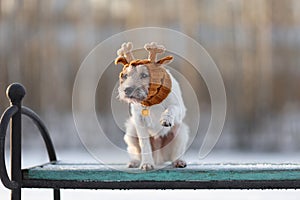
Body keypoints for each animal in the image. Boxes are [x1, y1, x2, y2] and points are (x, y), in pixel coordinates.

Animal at [115, 41, 189, 170]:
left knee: (176, 154)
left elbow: (171, 108)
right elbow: (144, 145)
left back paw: (178, 161)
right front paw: (147, 164)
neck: (152, 100)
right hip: (131, 132)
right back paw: (134, 162)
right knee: (135, 152)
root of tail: (159, 157)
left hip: (181, 133)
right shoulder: (139, 121)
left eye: (145, 75)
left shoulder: (179, 109)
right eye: (124, 76)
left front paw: (166, 118)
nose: (127, 90)